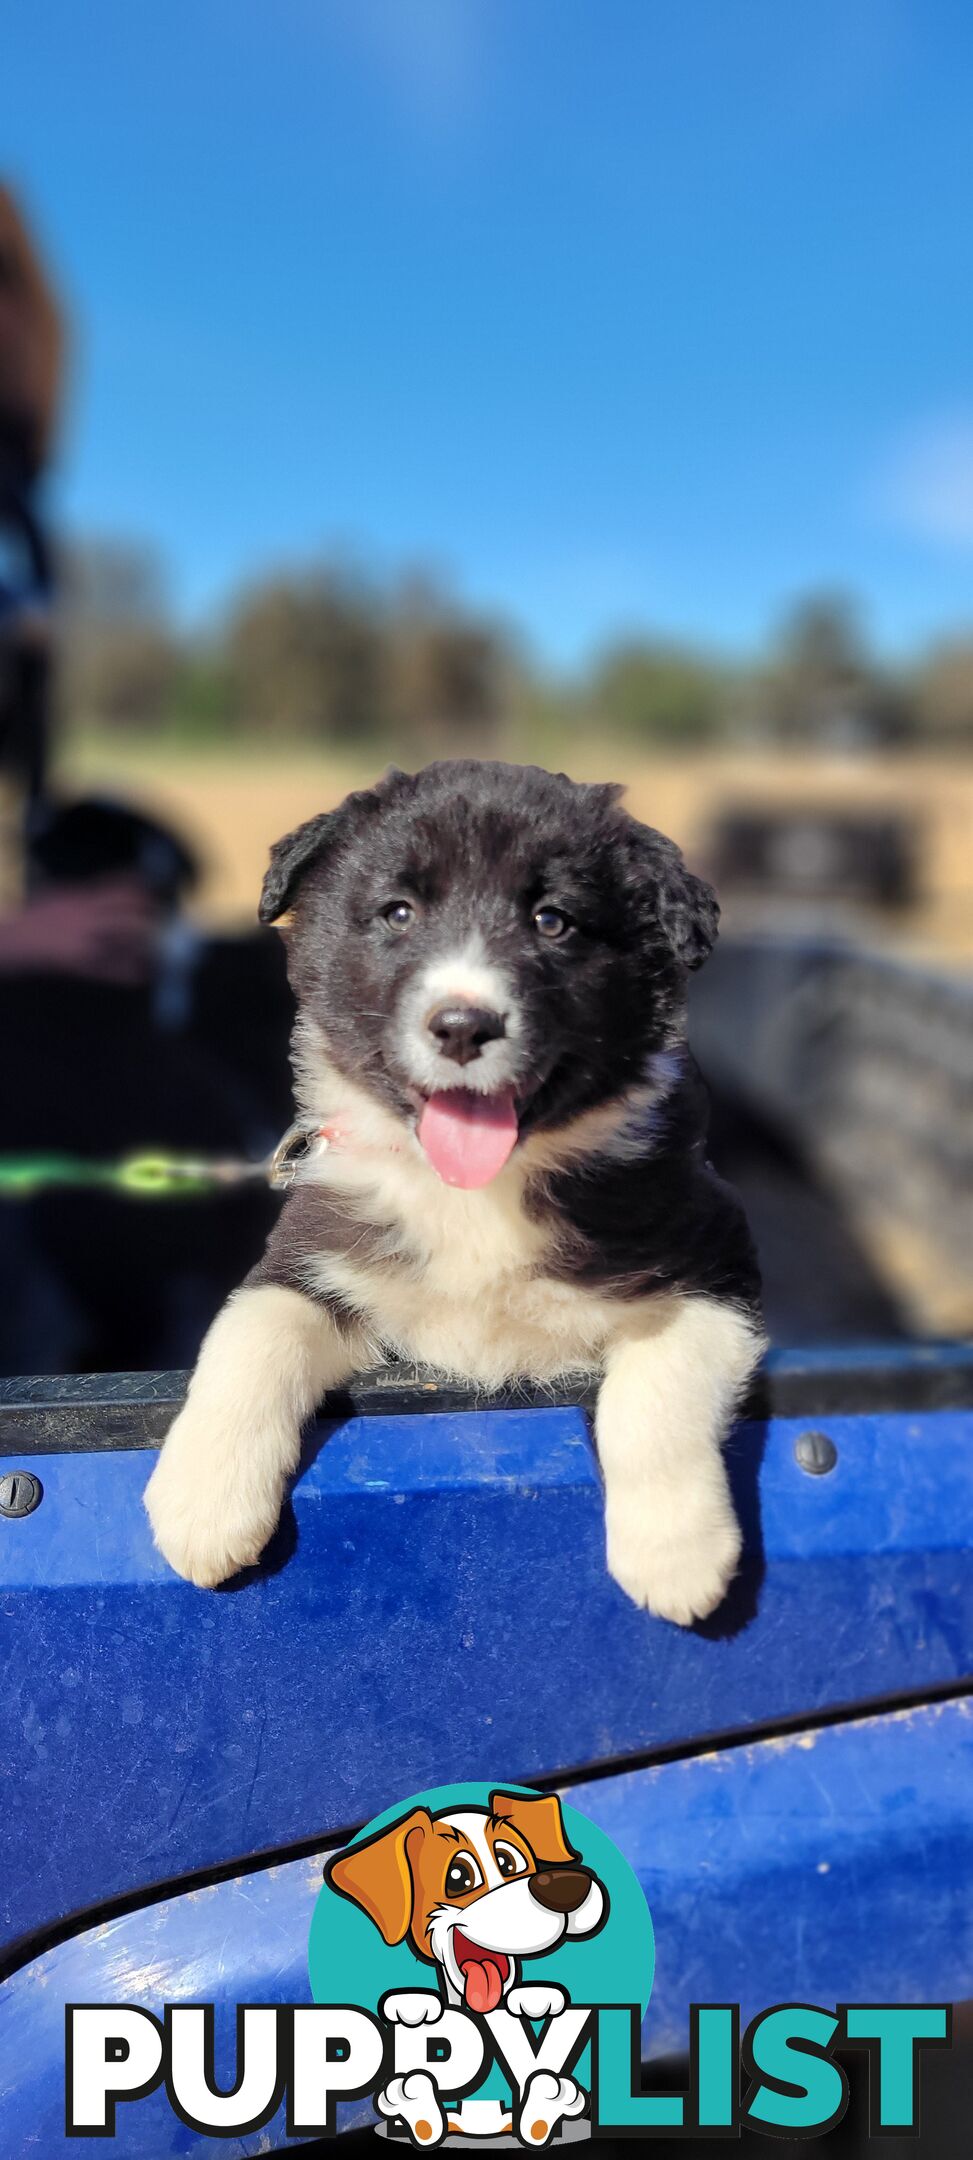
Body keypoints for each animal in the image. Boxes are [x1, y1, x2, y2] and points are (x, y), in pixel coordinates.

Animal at [148, 760, 765, 1624]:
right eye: (398, 913)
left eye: (552, 921)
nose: (462, 1026)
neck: (479, 1191)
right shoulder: (318, 1246)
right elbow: (249, 1335)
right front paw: (200, 1505)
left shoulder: (713, 1256)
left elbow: (656, 1396)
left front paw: (676, 1553)